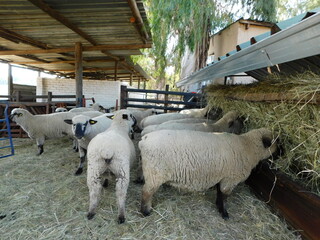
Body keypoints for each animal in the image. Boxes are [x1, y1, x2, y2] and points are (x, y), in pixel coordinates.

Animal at [139, 127, 278, 219]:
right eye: (276, 143)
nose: (280, 155)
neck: (247, 146)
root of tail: (144, 140)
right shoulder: (230, 179)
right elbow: (224, 196)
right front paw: (224, 213)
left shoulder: (223, 176)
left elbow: (219, 192)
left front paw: (219, 207)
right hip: (155, 174)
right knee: (146, 192)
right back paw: (145, 212)